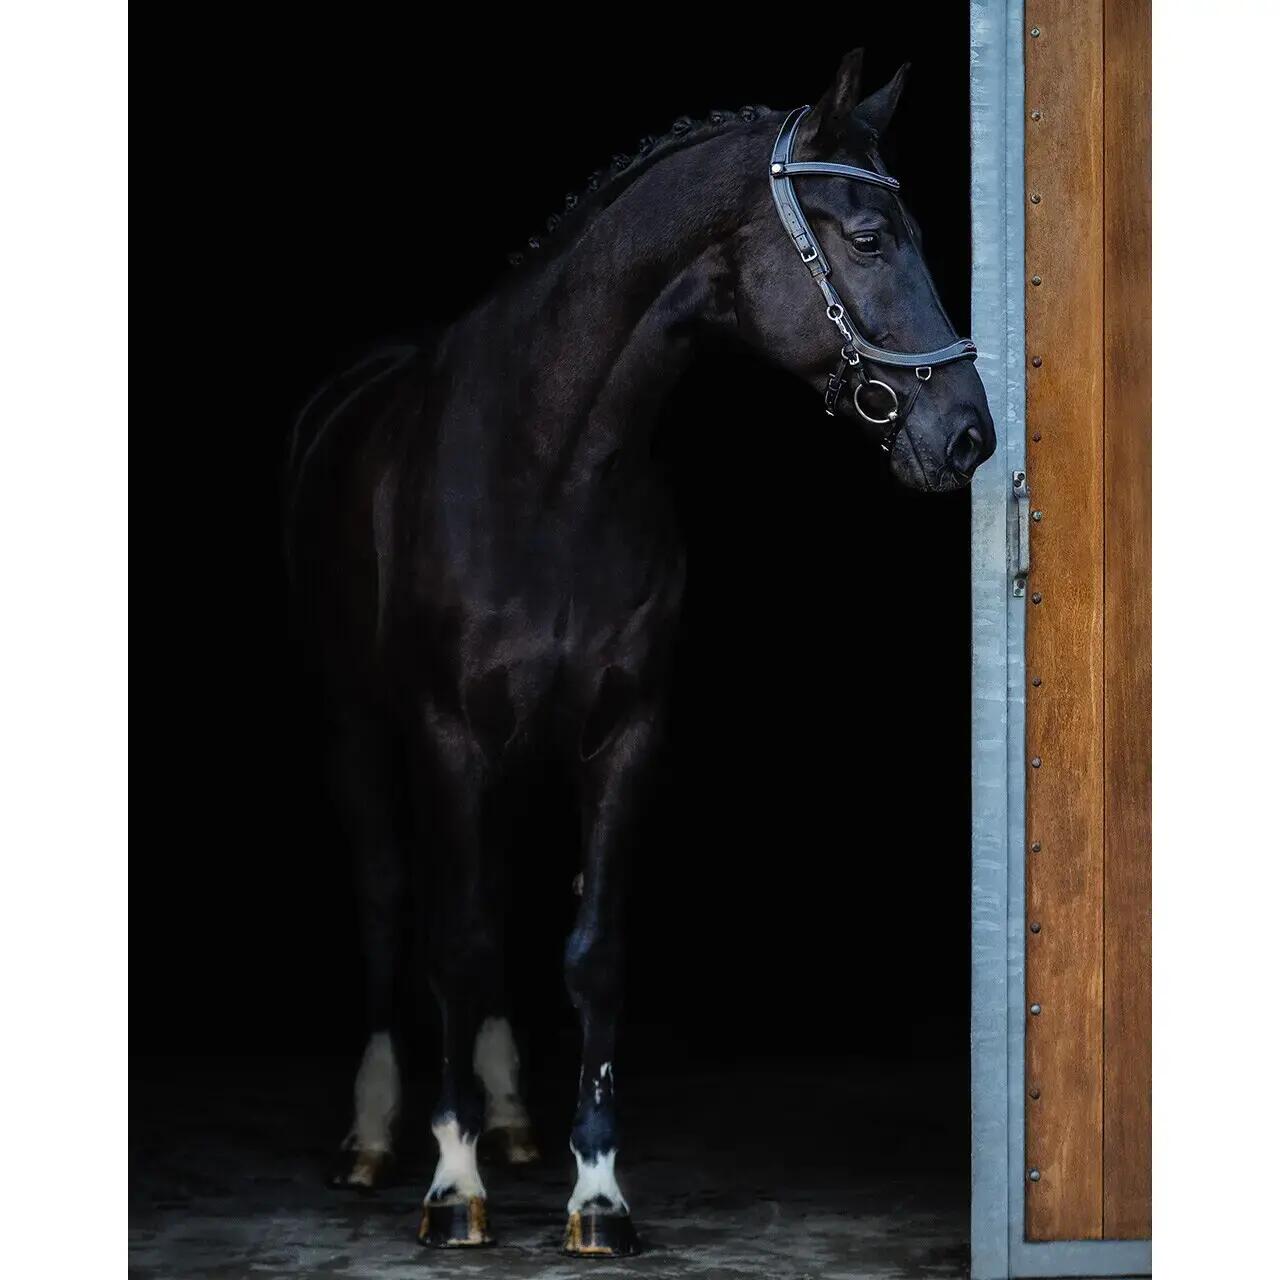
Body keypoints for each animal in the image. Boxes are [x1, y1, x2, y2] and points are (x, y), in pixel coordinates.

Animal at [284, 47, 995, 1258]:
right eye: (866, 237)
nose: (967, 435)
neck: (551, 466)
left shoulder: (621, 735)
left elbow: (590, 951)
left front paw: (596, 1192)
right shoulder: (448, 736)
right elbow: (451, 943)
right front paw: (452, 1185)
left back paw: (512, 1120)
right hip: (359, 729)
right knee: (391, 905)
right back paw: (377, 1137)